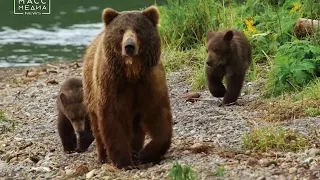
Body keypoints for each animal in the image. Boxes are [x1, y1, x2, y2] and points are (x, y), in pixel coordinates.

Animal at [82, 5, 172, 169]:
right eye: (121, 30)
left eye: (138, 29)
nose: (129, 46)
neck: (132, 73)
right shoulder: (112, 85)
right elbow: (113, 120)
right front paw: (124, 161)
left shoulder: (149, 82)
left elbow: (158, 116)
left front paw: (145, 154)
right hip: (90, 91)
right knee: (97, 127)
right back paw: (103, 156)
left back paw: (135, 150)